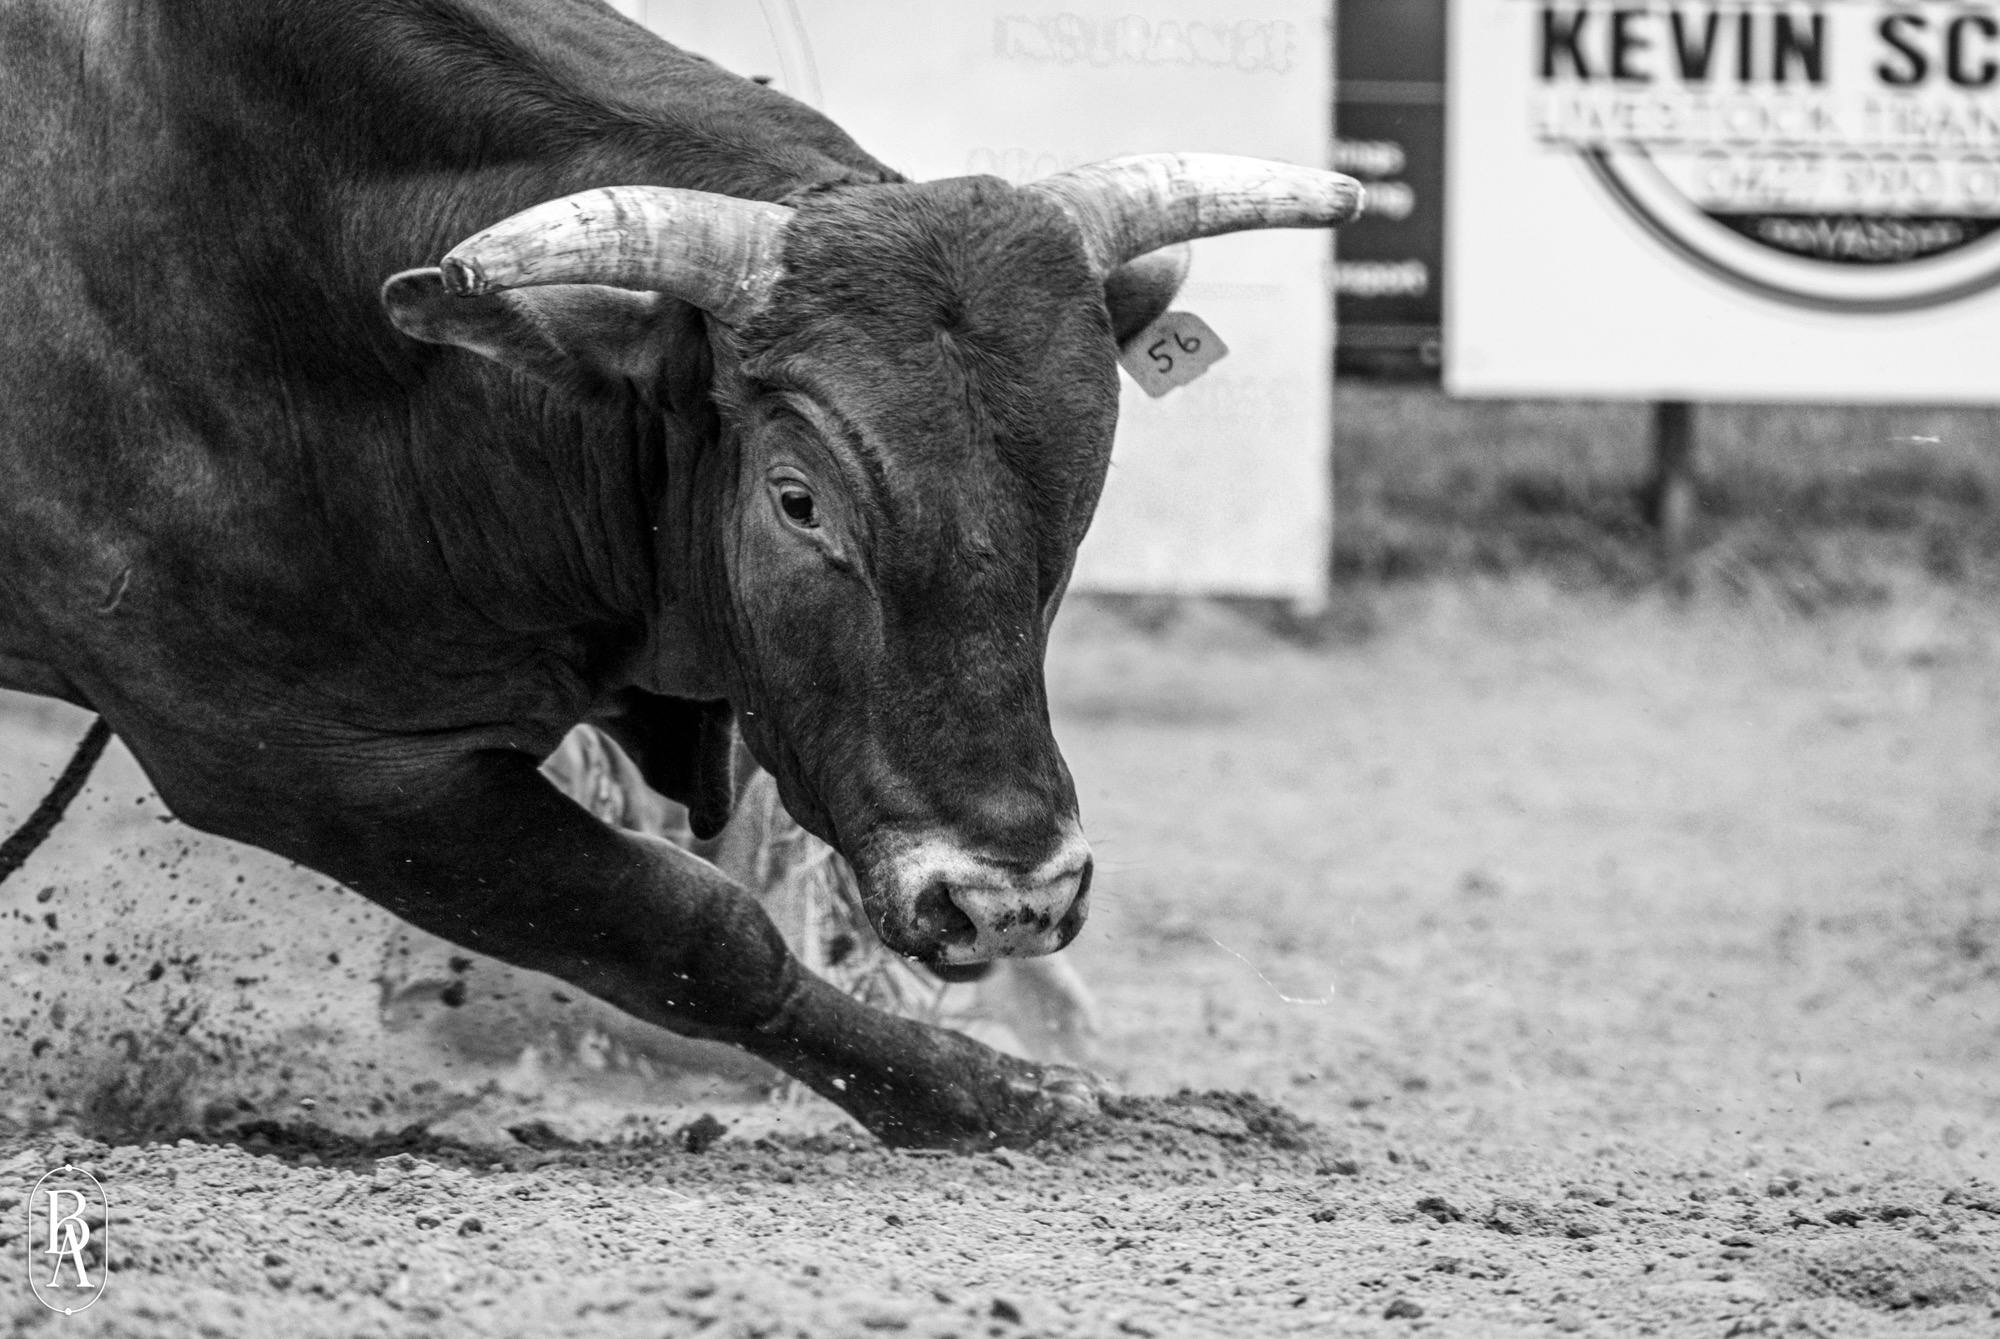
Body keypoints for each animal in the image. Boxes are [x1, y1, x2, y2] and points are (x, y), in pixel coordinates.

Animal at [0, 0, 1360, 1148]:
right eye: (797, 498)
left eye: (1084, 480)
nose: (1007, 897)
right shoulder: (302, 760)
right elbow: (693, 926)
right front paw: (988, 1092)